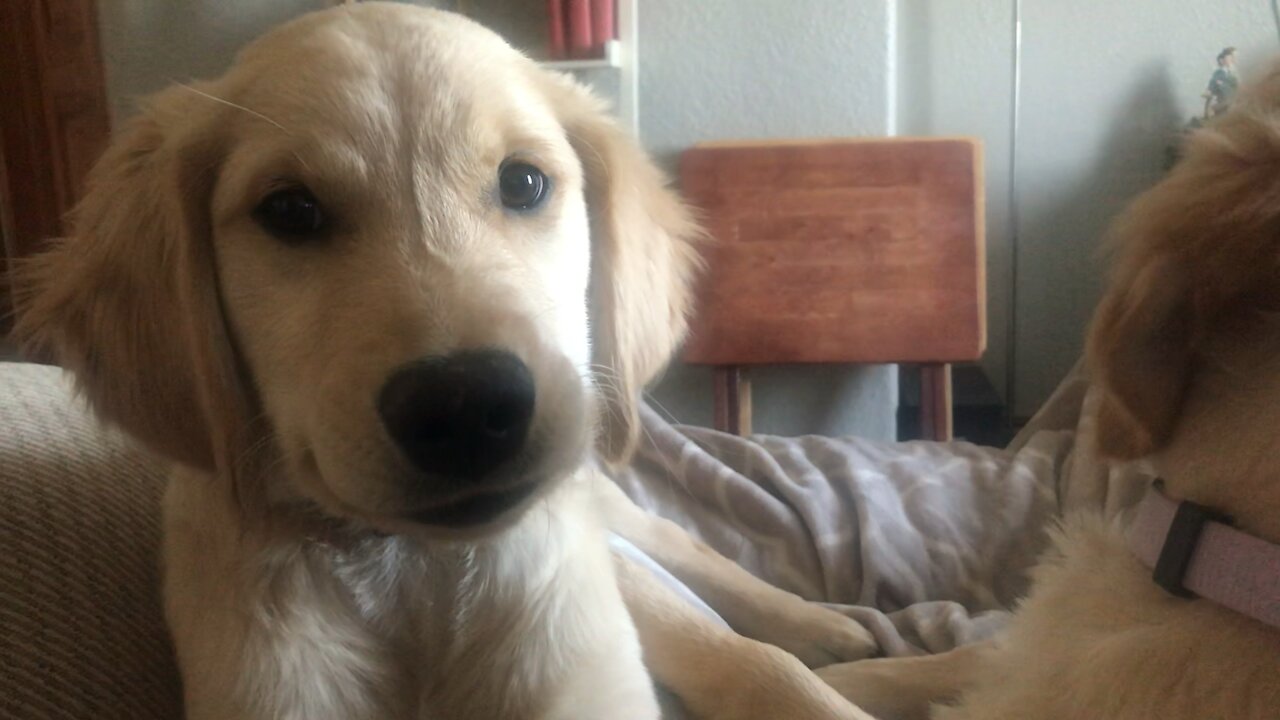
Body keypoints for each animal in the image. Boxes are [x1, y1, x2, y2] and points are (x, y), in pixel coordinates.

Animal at [12, 5, 880, 717]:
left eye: (524, 182)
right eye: (289, 210)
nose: (466, 406)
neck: (416, 576)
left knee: (702, 575)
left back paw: (823, 629)